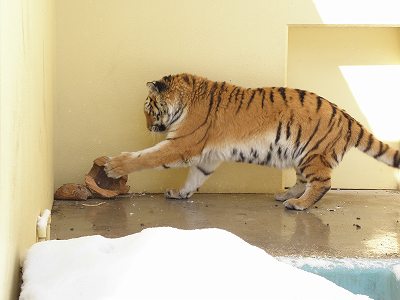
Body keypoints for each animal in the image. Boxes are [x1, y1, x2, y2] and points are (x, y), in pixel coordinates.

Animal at [104, 73, 400, 211]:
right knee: (304, 180)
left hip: (313, 154)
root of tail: (347, 117)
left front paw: (113, 166)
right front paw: (180, 193)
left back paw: (299, 205)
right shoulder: (207, 157)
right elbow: (194, 178)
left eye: (148, 108)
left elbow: (146, 156)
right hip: (301, 156)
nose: (147, 126)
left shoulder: (182, 144)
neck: (184, 100)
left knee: (322, 183)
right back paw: (286, 196)